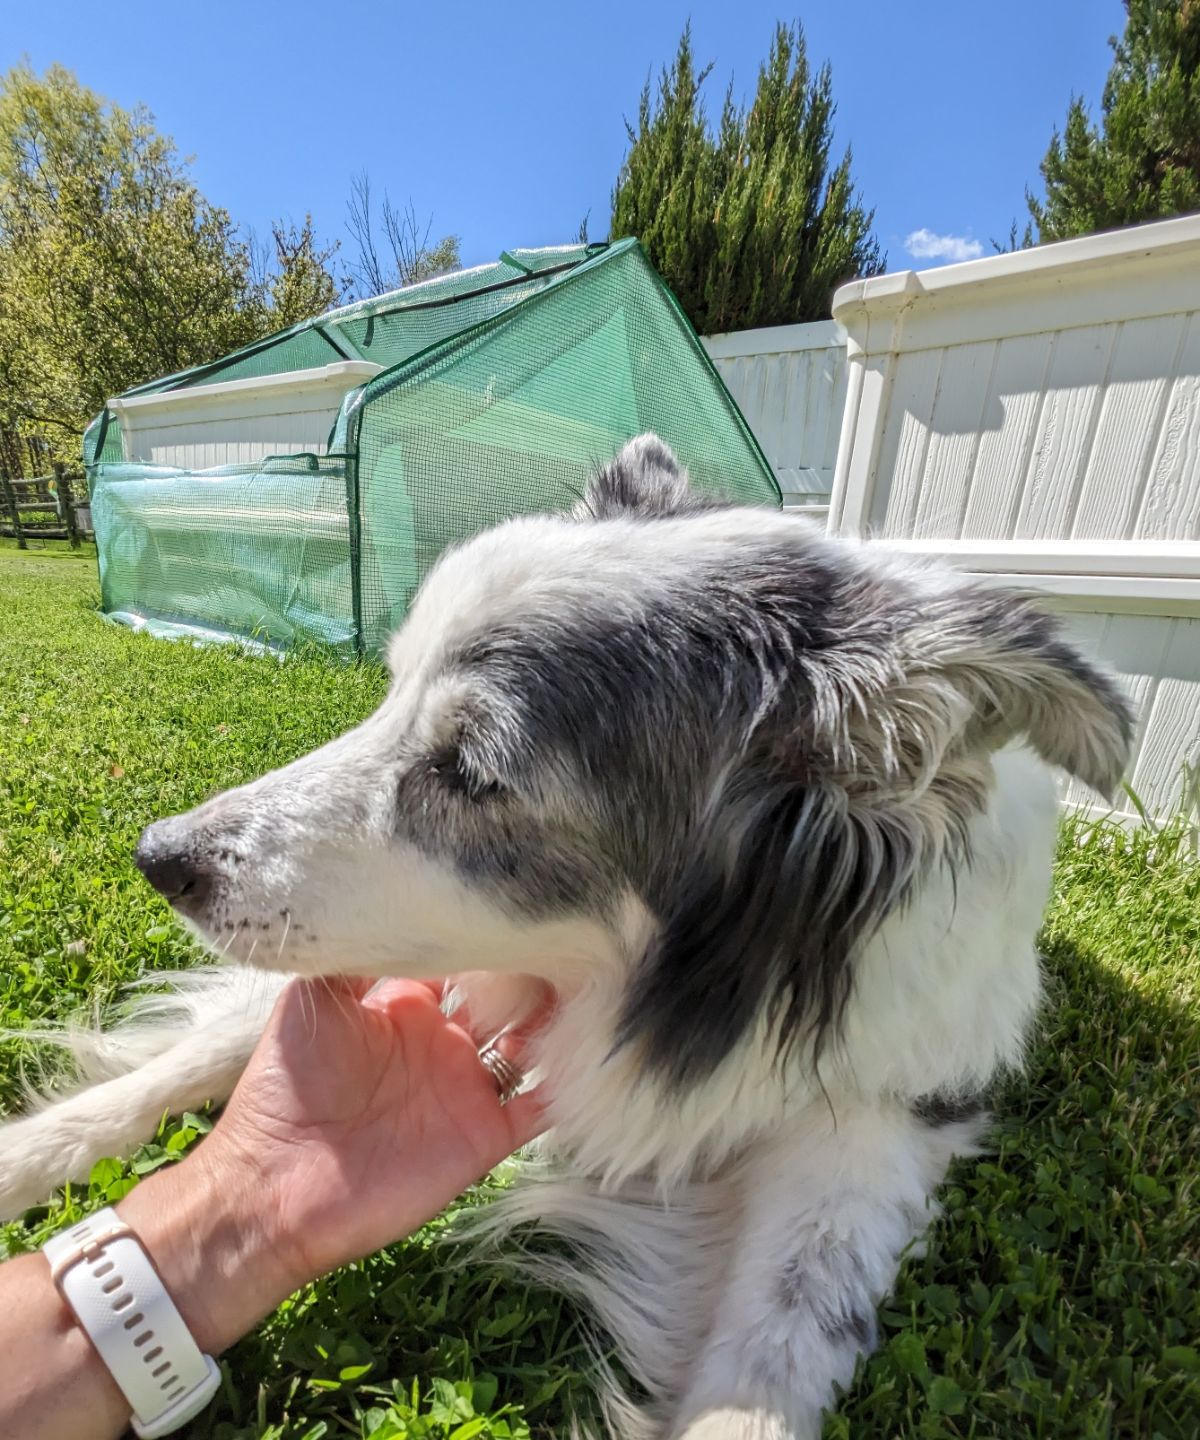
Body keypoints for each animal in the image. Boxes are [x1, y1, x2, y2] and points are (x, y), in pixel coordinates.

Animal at [0, 437, 1135, 1440]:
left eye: (469, 770)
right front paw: (27, 1155)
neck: (715, 992)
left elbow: (771, 1362)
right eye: (389, 694)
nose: (159, 857)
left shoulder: (881, 1119)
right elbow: (183, 1060)